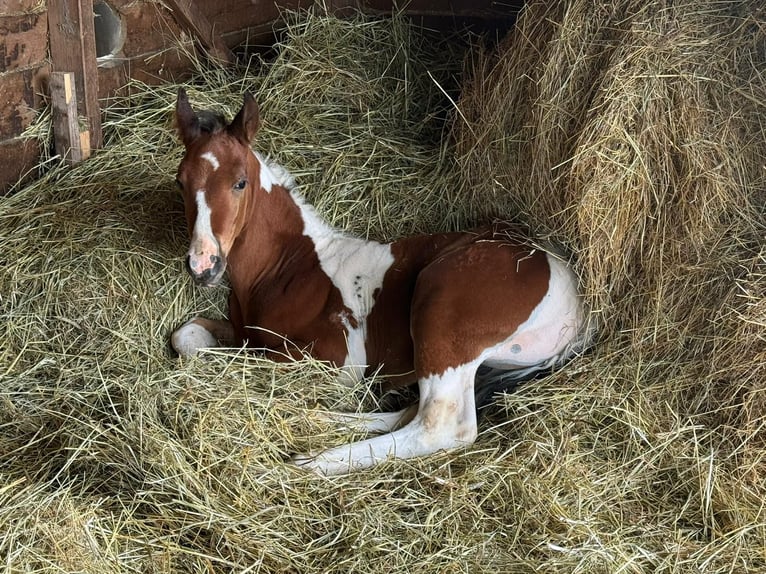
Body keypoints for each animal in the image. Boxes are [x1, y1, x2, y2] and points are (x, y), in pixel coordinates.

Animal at [170, 89, 592, 475]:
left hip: (442, 307)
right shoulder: (242, 331)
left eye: (240, 183)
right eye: (180, 182)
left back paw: (313, 461)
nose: (203, 264)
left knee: (439, 425)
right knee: (411, 411)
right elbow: (187, 337)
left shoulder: (332, 360)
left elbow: (250, 363)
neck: (287, 269)